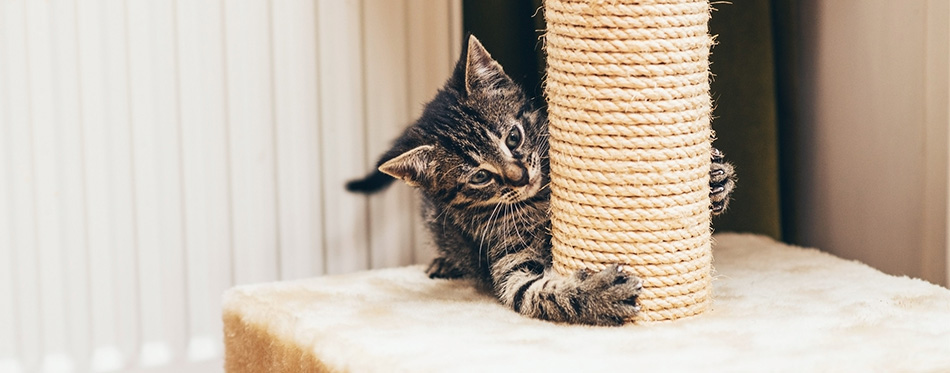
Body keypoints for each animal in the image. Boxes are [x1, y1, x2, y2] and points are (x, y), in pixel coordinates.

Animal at [350, 35, 736, 326]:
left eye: (513, 138)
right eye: (480, 176)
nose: (520, 177)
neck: (539, 198)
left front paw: (715, 181)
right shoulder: (508, 261)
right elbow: (538, 293)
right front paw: (600, 294)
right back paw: (444, 262)